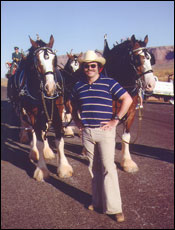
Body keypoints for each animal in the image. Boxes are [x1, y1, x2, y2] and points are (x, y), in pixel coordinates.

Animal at [7, 35, 73, 181]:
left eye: (54, 59)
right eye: (37, 60)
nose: (50, 87)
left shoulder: (57, 110)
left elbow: (59, 139)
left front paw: (64, 167)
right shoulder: (33, 113)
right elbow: (38, 141)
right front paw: (42, 169)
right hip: (24, 109)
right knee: (30, 128)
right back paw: (33, 150)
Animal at [102, 34, 156, 172]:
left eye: (151, 58)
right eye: (137, 59)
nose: (151, 84)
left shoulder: (130, 113)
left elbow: (126, 136)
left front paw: (127, 162)